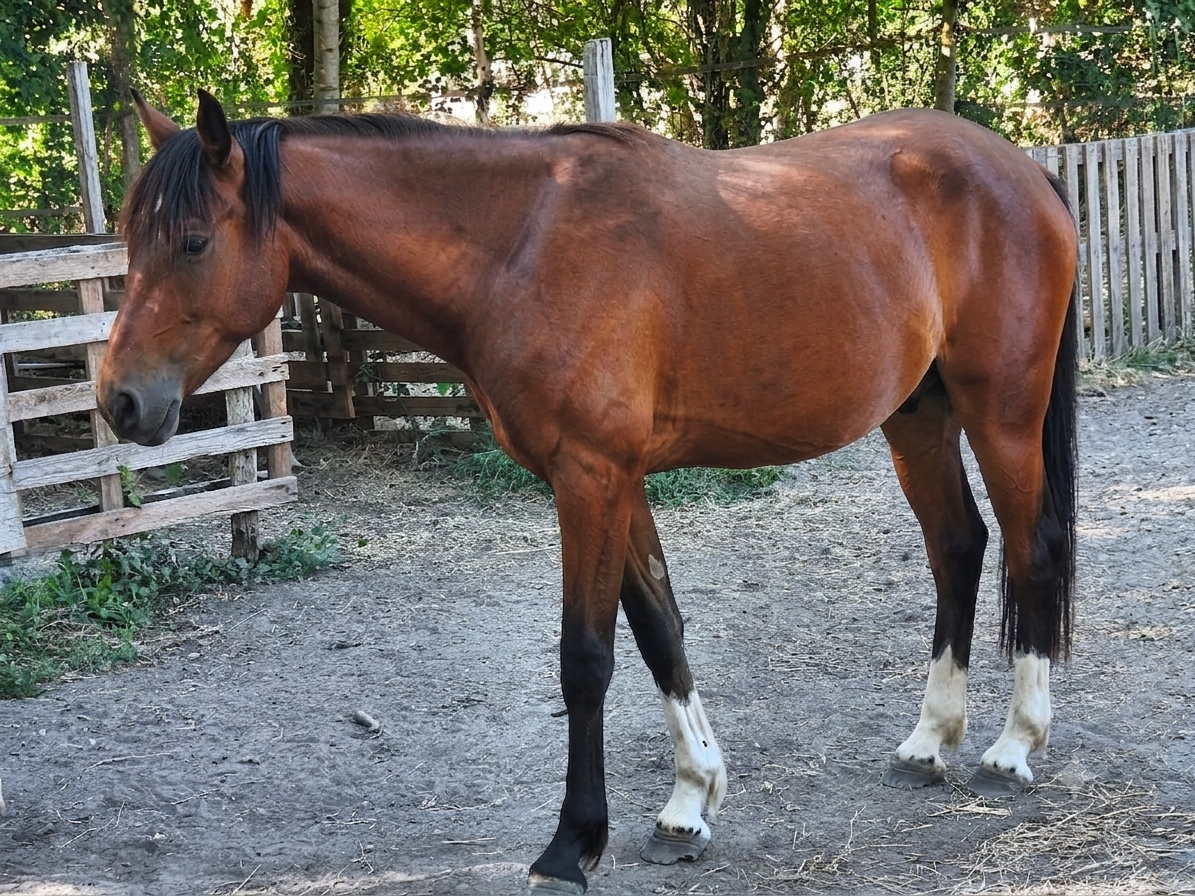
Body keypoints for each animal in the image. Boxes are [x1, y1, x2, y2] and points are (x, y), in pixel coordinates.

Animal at [97, 90, 1078, 894]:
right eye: (131, 239)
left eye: (192, 241)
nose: (120, 401)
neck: (520, 245)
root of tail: (1021, 168)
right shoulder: (619, 481)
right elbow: (659, 630)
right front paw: (688, 802)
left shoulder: (589, 478)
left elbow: (587, 659)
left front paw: (572, 845)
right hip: (917, 413)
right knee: (957, 546)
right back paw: (928, 741)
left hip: (1000, 409)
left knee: (1026, 547)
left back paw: (1012, 747)